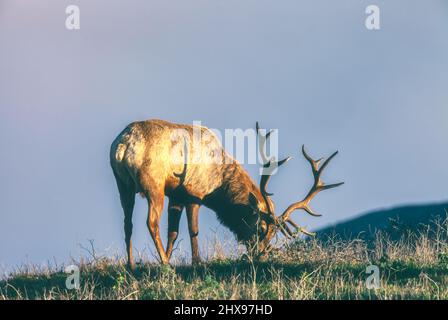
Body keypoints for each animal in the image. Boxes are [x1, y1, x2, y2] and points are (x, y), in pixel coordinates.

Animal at [109, 118, 344, 268]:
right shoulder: (194, 193)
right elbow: (193, 230)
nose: (259, 253)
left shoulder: (175, 195)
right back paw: (165, 265)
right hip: (153, 185)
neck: (218, 185)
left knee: (127, 223)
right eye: (261, 227)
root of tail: (123, 144)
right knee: (151, 222)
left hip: (123, 185)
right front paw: (195, 262)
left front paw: (163, 259)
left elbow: (173, 233)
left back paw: (132, 265)